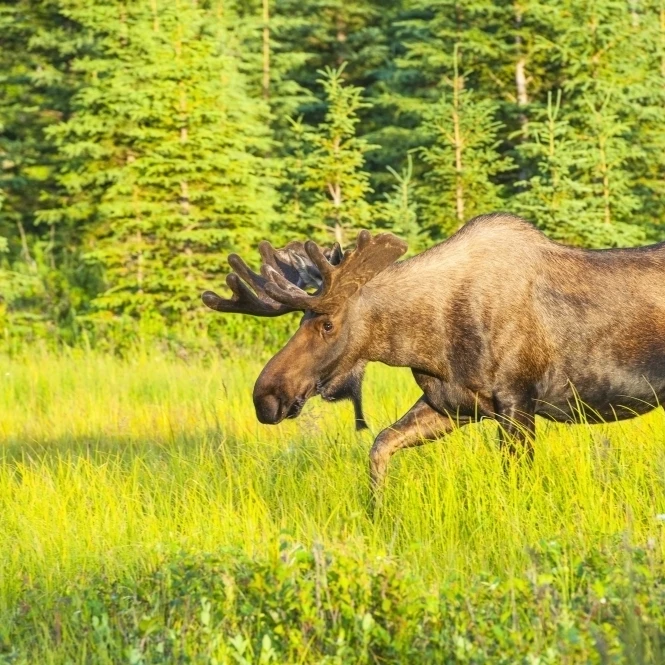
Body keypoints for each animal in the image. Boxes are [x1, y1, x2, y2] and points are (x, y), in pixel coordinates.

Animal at [203, 213, 665, 497]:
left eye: (327, 324)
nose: (266, 397)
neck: (428, 343)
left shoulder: (517, 402)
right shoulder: (452, 405)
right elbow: (380, 446)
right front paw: (377, 511)